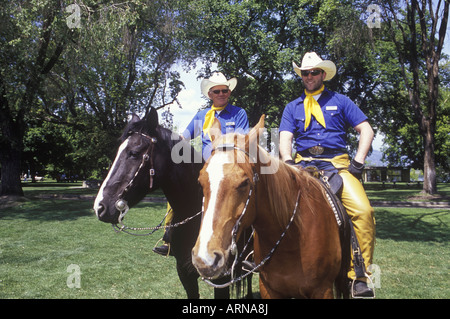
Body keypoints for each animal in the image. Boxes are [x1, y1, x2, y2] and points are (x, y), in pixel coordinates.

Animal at [192, 115, 350, 300]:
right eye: (200, 182)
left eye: (244, 182)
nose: (205, 259)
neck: (291, 240)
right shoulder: (269, 289)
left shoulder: (322, 290)